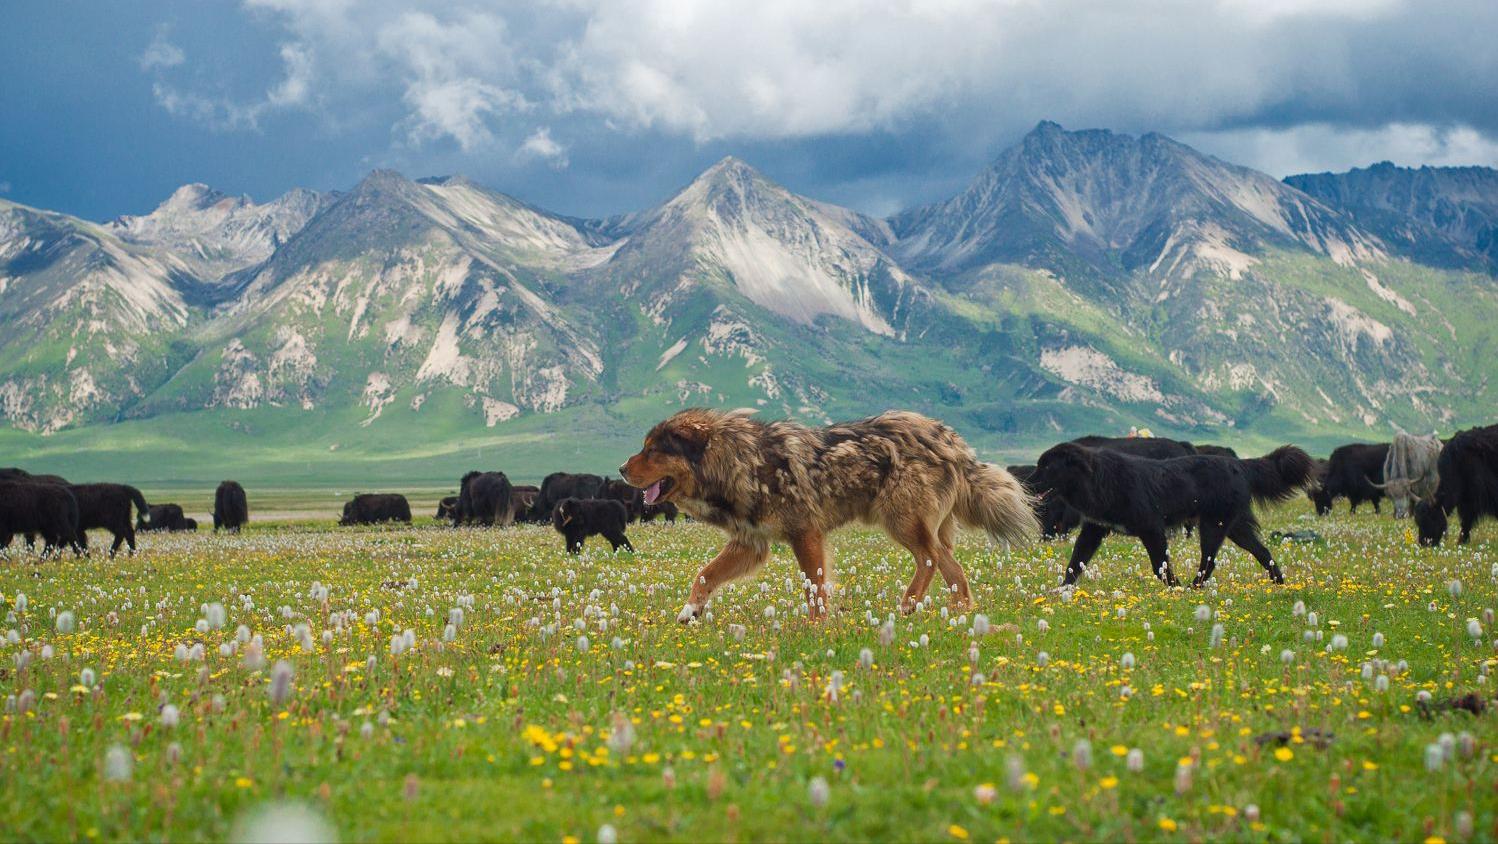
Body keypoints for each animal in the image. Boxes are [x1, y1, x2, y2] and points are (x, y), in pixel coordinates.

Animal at [617, 407, 1030, 620]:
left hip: (901, 520)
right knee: (952, 567)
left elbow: (814, 587)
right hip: (921, 524)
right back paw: (960, 611)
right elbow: (705, 574)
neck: (741, 461)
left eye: (653, 450)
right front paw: (691, 609)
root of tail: (951, 440)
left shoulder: (806, 533)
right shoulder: (751, 542)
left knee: (929, 559)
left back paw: (910, 603)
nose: (620, 469)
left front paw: (817, 626)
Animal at [1030, 443, 1312, 587]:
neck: (1097, 479)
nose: (1027, 484)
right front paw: (1063, 590)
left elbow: (1159, 566)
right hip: (1235, 527)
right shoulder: (1093, 530)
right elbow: (1075, 562)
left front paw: (1173, 586)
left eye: (1047, 466)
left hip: (1213, 525)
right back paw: (1279, 582)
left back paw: (1192, 587)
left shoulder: (1152, 528)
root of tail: (1240, 464)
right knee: (1262, 551)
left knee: (1210, 560)